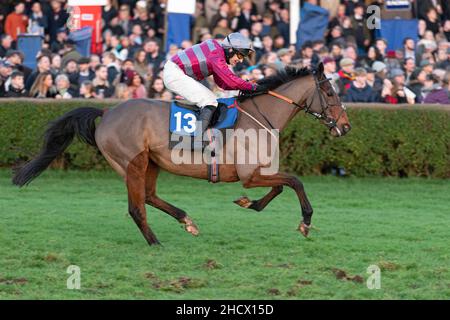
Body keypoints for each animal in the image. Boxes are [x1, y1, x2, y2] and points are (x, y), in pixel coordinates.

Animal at [12, 63, 352, 248]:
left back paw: (187, 221)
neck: (260, 115)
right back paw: (155, 242)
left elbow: (281, 186)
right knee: (137, 207)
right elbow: (294, 182)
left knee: (148, 197)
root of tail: (107, 112)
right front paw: (305, 222)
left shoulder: (259, 172)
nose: (346, 126)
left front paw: (249, 204)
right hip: (132, 163)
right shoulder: (248, 174)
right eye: (330, 92)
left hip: (151, 163)